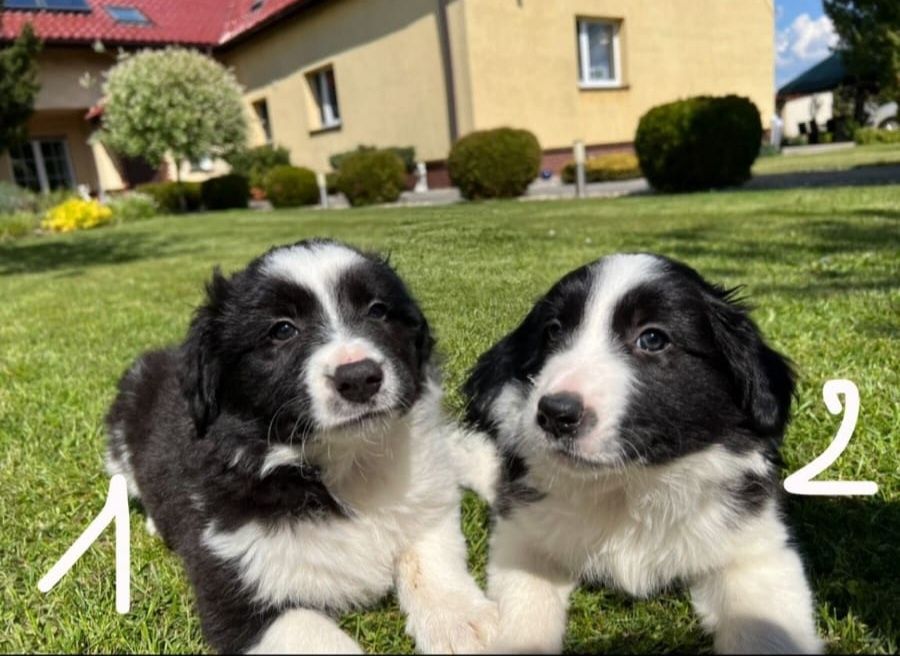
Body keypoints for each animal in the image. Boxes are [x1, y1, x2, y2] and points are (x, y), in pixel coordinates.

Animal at [108, 241, 500, 656]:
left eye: (378, 311)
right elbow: (319, 636)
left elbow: (432, 557)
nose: (359, 378)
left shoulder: (426, 503)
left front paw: (464, 621)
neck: (343, 460)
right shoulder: (234, 586)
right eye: (282, 330)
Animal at [464, 254, 824, 652]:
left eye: (652, 338)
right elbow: (524, 611)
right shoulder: (525, 534)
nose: (555, 414)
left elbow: (767, 630)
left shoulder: (756, 550)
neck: (630, 484)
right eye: (553, 331)